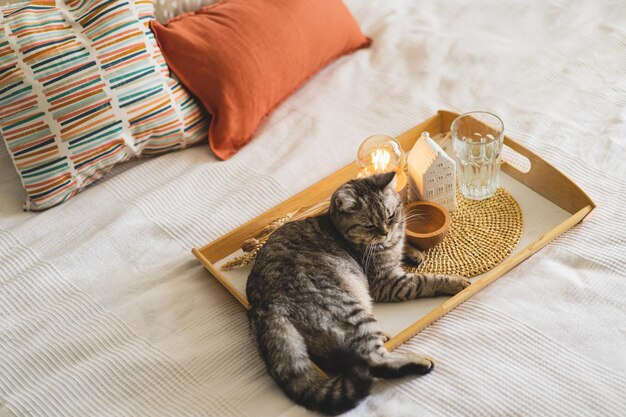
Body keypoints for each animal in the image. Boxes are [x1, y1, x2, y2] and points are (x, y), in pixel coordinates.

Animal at [244, 171, 468, 412]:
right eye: (369, 226)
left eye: (390, 216)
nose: (385, 232)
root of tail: (265, 305)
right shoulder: (388, 282)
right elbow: (425, 280)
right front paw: (456, 282)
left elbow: (403, 241)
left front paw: (413, 251)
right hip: (352, 309)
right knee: (372, 361)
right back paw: (418, 362)